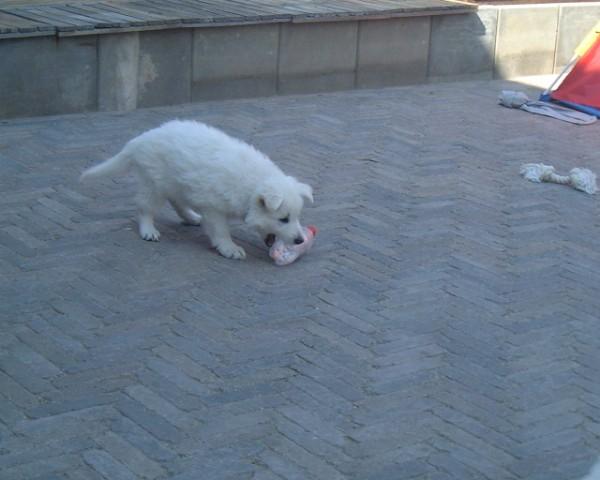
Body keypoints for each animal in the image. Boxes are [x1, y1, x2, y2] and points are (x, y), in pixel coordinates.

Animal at [80, 120, 313, 259]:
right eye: (283, 219)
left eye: (296, 217)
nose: (300, 240)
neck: (251, 185)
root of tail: (140, 140)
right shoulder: (213, 207)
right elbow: (220, 230)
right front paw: (230, 248)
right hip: (154, 183)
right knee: (145, 207)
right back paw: (148, 230)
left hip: (176, 183)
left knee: (177, 201)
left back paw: (191, 217)